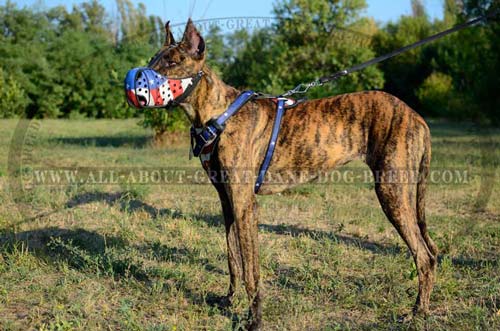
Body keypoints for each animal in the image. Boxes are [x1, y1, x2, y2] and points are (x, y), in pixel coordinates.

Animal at [148, 19, 438, 330]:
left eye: (172, 62)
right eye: (154, 59)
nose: (138, 79)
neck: (218, 115)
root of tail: (417, 117)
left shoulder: (245, 205)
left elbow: (251, 271)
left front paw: (254, 318)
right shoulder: (227, 201)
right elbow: (232, 258)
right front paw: (228, 300)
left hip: (391, 192)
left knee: (424, 256)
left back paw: (418, 312)